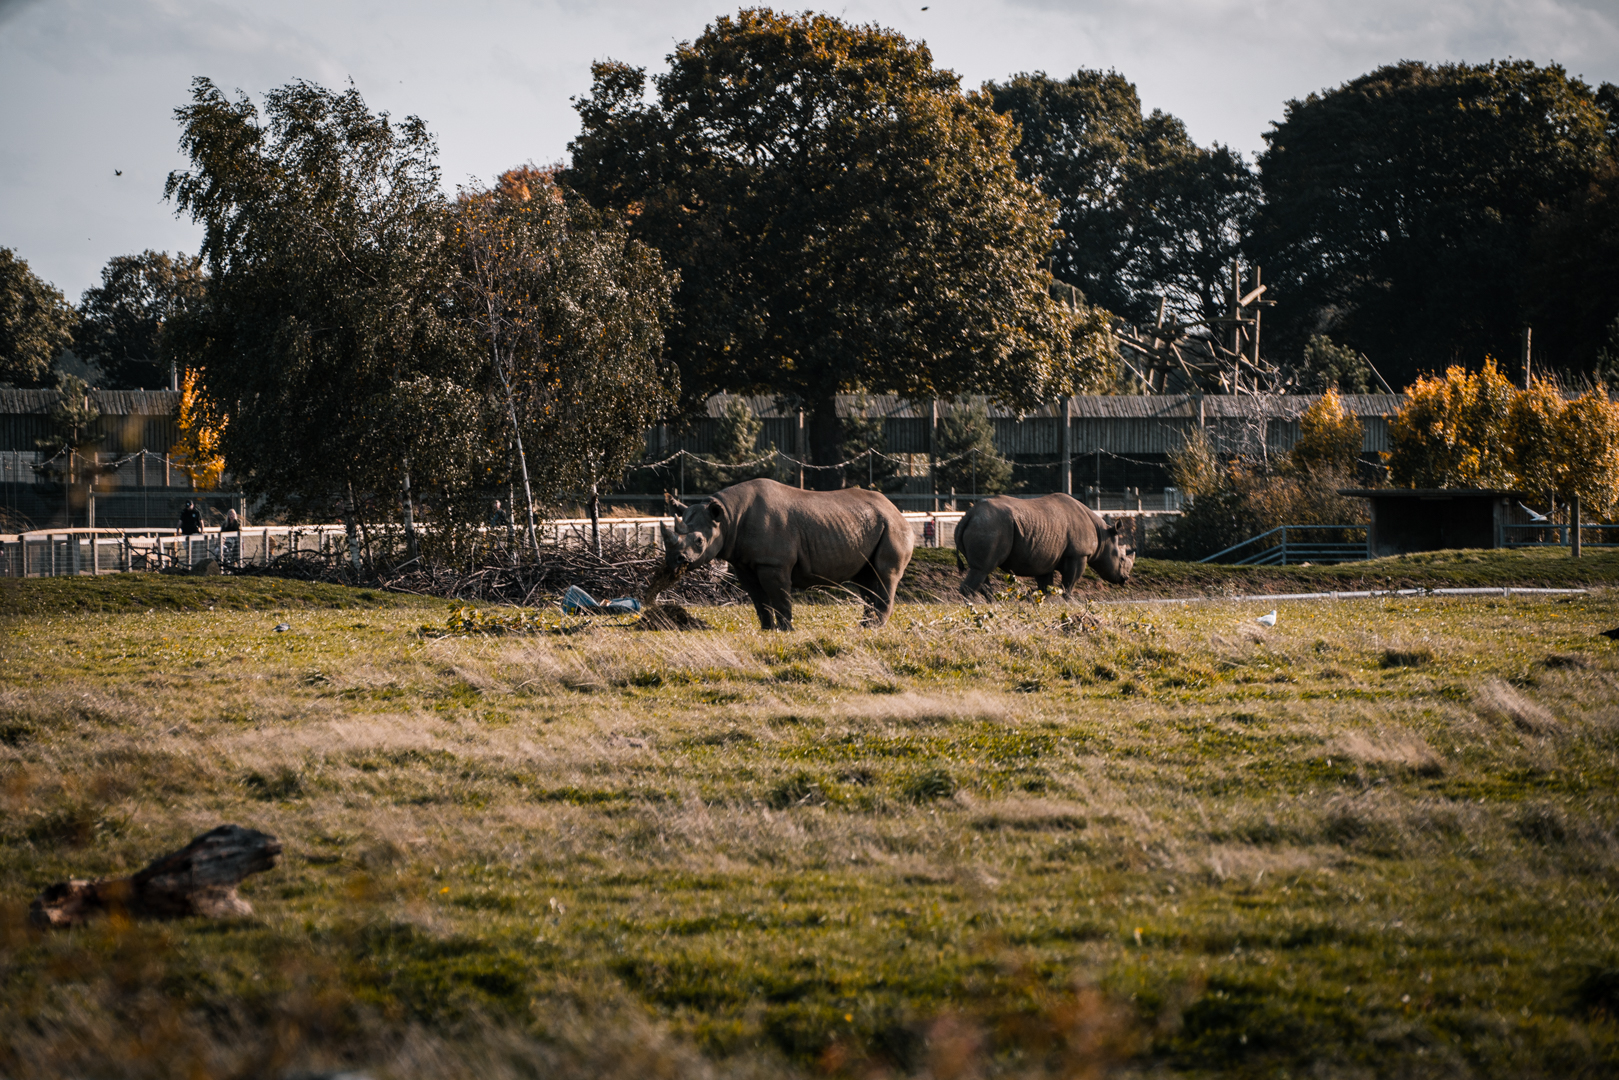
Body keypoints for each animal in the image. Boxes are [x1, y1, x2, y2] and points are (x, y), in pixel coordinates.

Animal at [656, 478, 914, 631]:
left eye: (699, 541)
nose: (674, 561)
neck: (727, 517)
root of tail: (897, 510)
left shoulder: (774, 563)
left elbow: (779, 597)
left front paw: (787, 631)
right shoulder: (743, 563)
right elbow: (759, 599)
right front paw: (767, 630)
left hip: (893, 527)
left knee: (884, 575)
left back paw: (874, 628)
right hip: (871, 526)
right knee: (866, 578)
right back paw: (864, 627)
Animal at [954, 493, 1135, 599]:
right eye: (1121, 558)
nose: (1125, 579)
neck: (1103, 536)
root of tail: (969, 515)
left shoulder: (1045, 557)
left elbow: (1046, 586)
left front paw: (1048, 602)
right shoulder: (1078, 554)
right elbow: (1069, 583)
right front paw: (1068, 601)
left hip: (986, 524)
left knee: (982, 571)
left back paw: (992, 603)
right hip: (991, 525)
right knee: (982, 569)